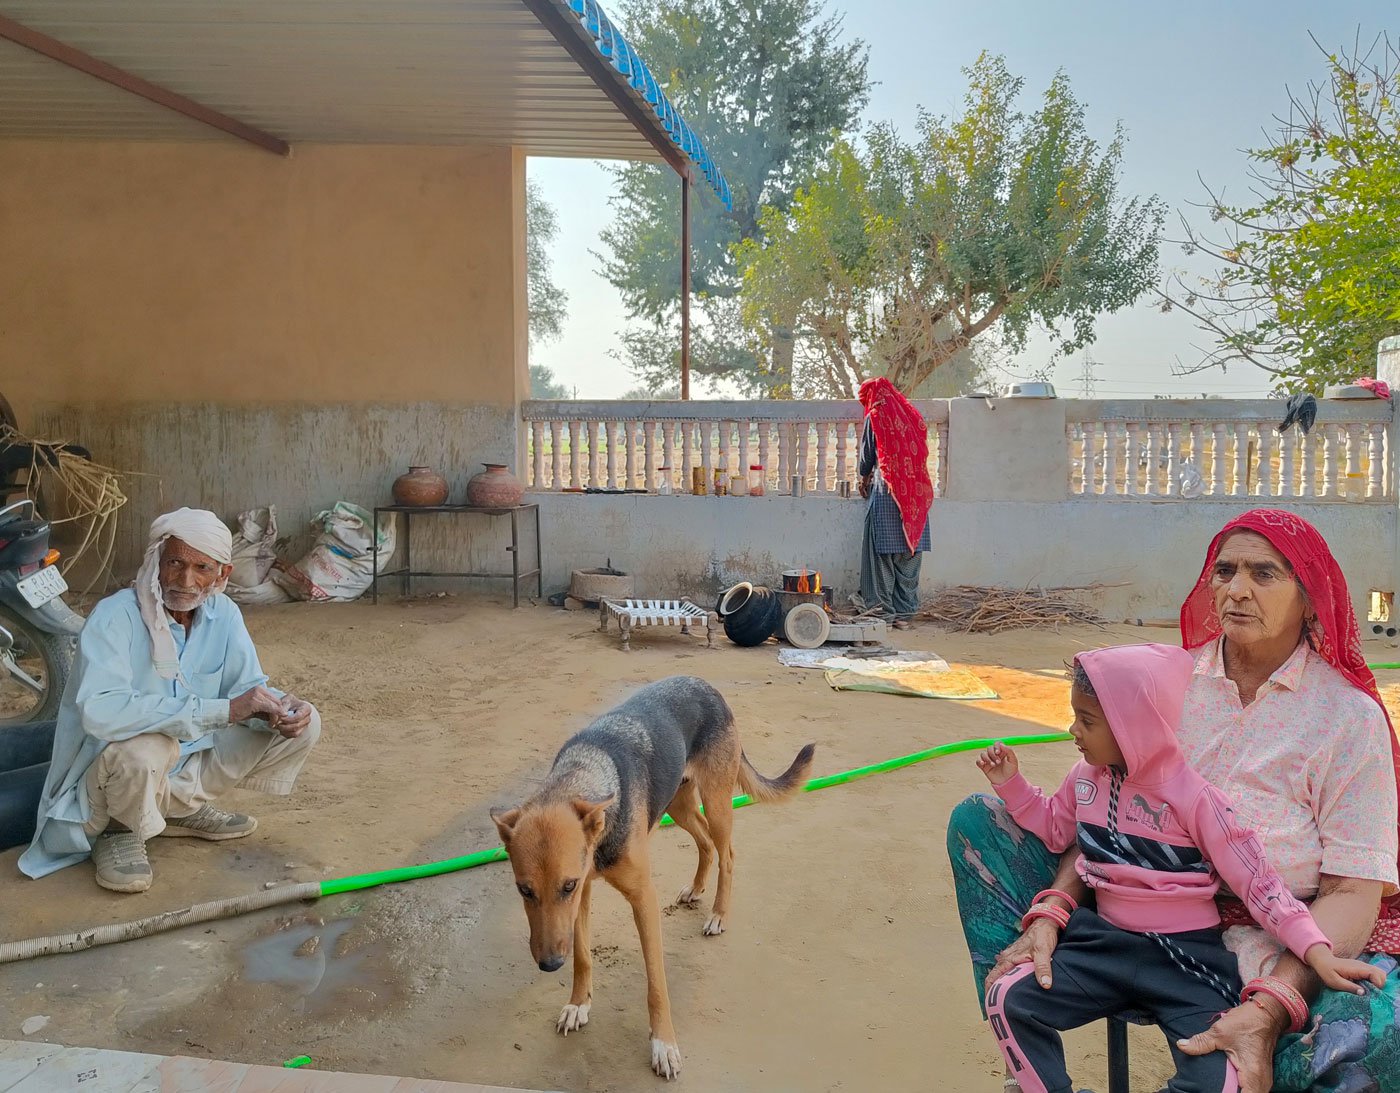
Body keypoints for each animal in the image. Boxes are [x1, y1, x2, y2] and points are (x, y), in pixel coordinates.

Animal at [495, 677, 817, 1080]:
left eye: (566, 886)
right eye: (524, 890)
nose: (550, 965)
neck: (582, 775)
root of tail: (707, 686)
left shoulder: (637, 898)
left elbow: (656, 984)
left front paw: (663, 1045)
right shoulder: (584, 895)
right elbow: (583, 955)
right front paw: (579, 1004)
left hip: (716, 801)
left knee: (726, 853)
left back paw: (718, 914)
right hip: (678, 804)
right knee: (704, 842)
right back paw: (696, 888)